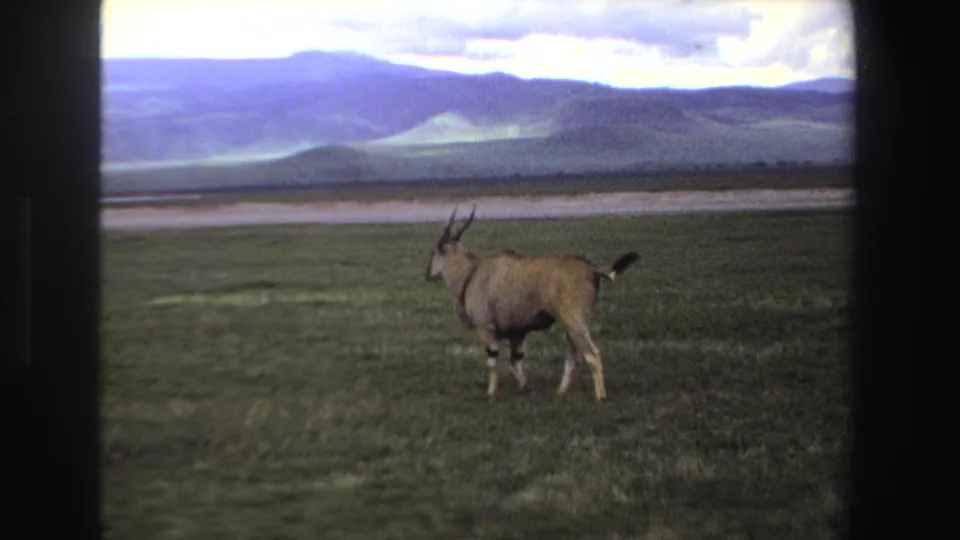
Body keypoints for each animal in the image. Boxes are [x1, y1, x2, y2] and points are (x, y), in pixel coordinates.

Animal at [425, 205, 640, 402]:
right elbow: (515, 361)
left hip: (574, 322)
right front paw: (526, 387)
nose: (428, 274)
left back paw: (600, 396)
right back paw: (561, 391)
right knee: (573, 358)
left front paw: (491, 392)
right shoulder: (518, 333)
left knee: (592, 355)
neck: (472, 273)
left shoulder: (486, 329)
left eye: (434, 251)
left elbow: (493, 360)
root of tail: (593, 270)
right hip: (572, 325)